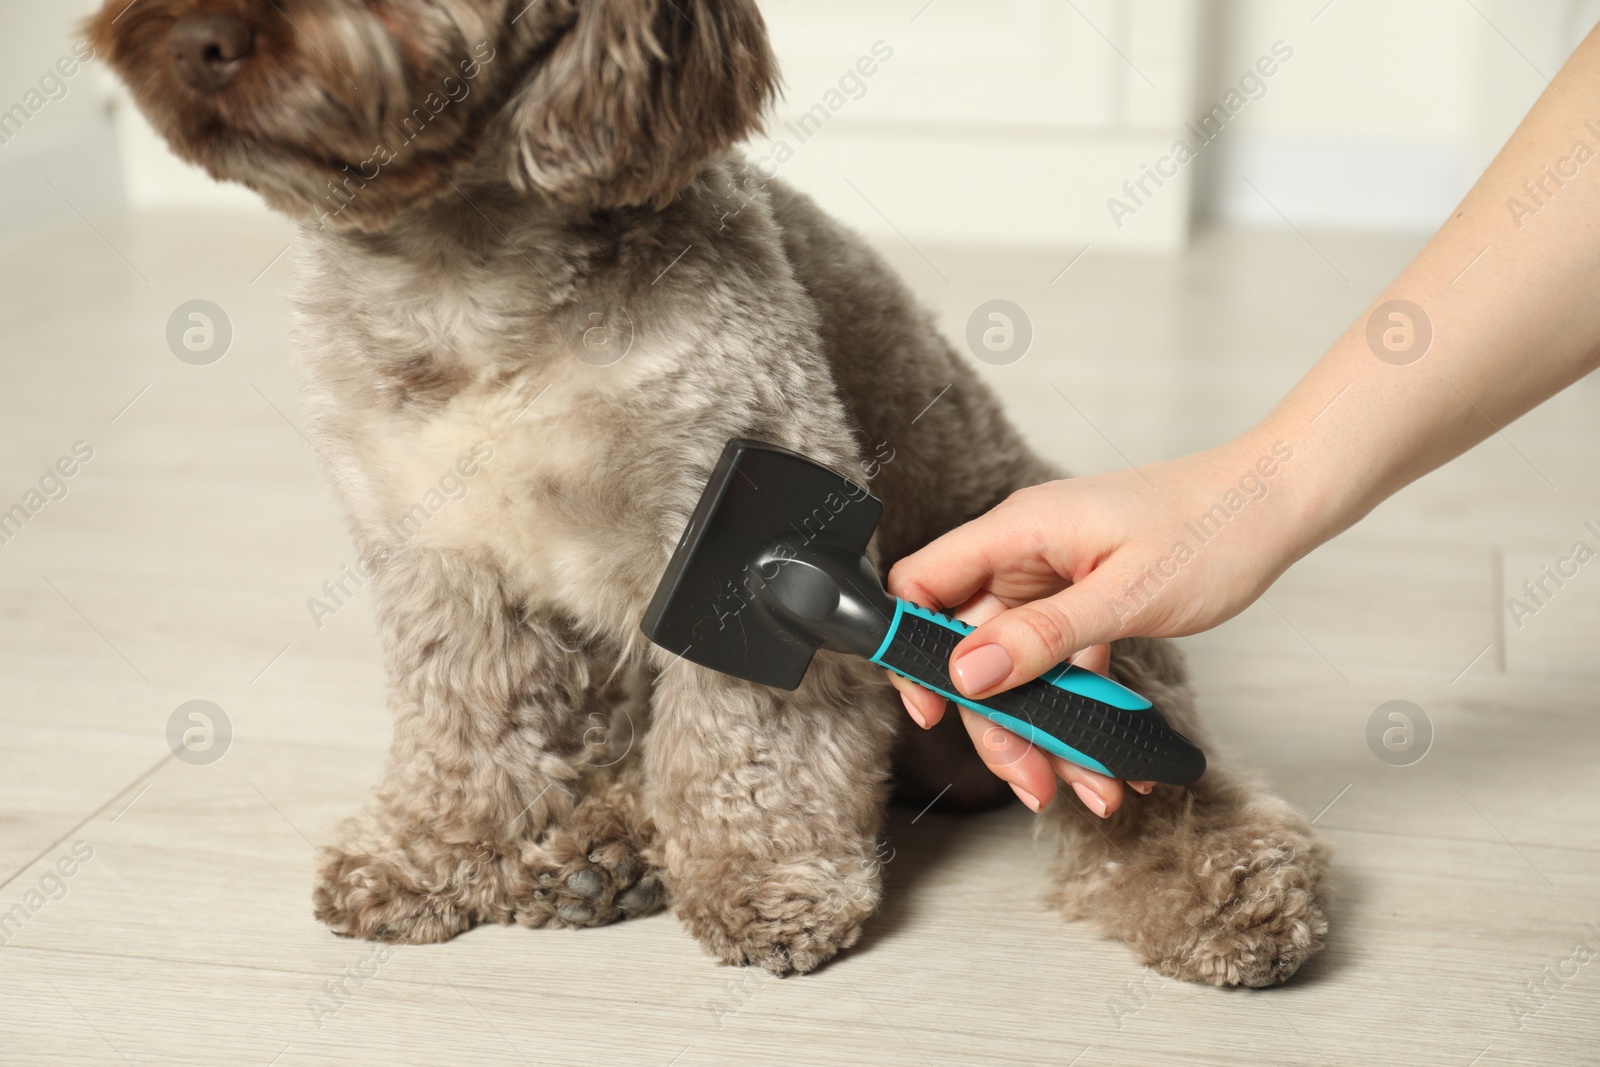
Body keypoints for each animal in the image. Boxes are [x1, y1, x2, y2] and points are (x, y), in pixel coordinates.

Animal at [93, 0, 1331, 991]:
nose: (197, 38)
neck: (467, 276)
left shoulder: (737, 522)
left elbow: (747, 740)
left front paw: (764, 877)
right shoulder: (442, 564)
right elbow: (461, 725)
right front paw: (429, 849)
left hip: (1066, 609)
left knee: (1164, 789)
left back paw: (1228, 888)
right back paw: (601, 846)